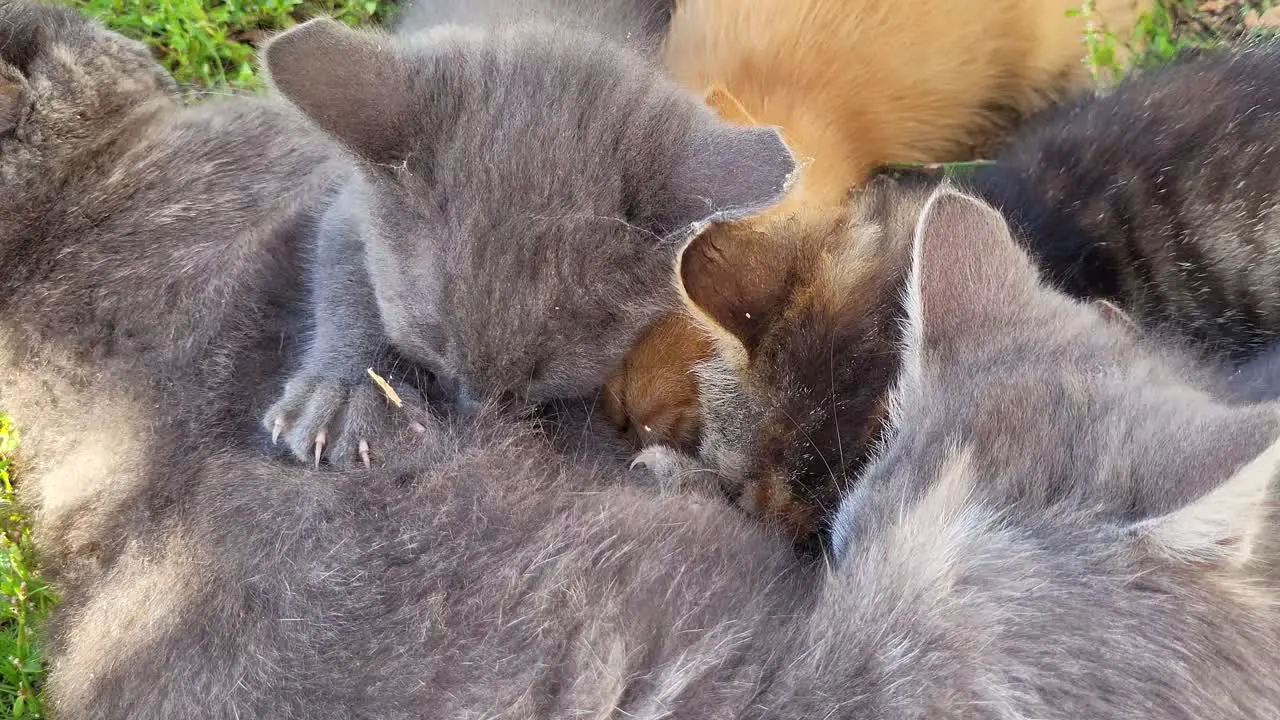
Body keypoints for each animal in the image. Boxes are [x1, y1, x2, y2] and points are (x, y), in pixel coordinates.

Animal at [254, 8, 793, 468]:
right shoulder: (349, 207)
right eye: (434, 344)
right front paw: (350, 395)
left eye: (541, 372)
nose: (479, 414)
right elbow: (345, 273)